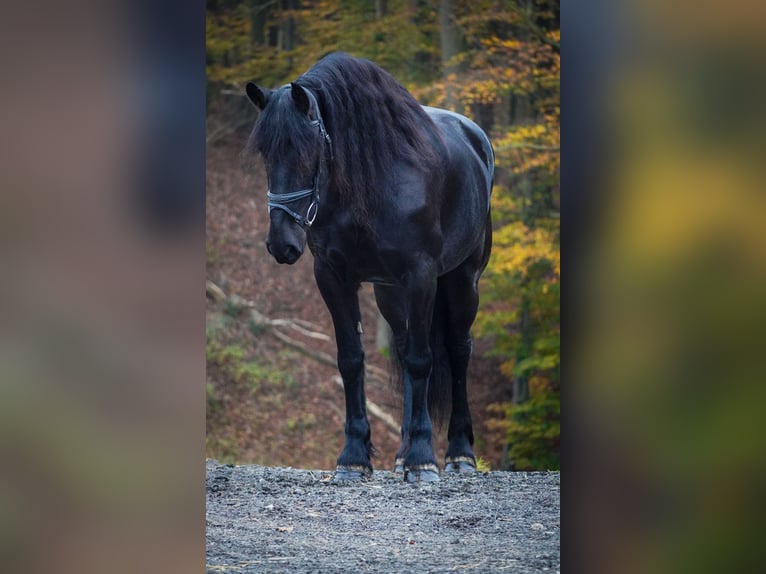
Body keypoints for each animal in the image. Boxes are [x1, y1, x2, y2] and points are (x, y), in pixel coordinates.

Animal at [249, 55, 496, 486]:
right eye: (265, 151)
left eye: (306, 147)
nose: (282, 243)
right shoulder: (333, 277)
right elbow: (352, 359)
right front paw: (353, 457)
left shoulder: (421, 276)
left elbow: (422, 361)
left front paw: (422, 459)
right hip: (391, 294)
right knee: (406, 347)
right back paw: (402, 455)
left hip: (463, 281)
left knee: (456, 350)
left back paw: (458, 453)